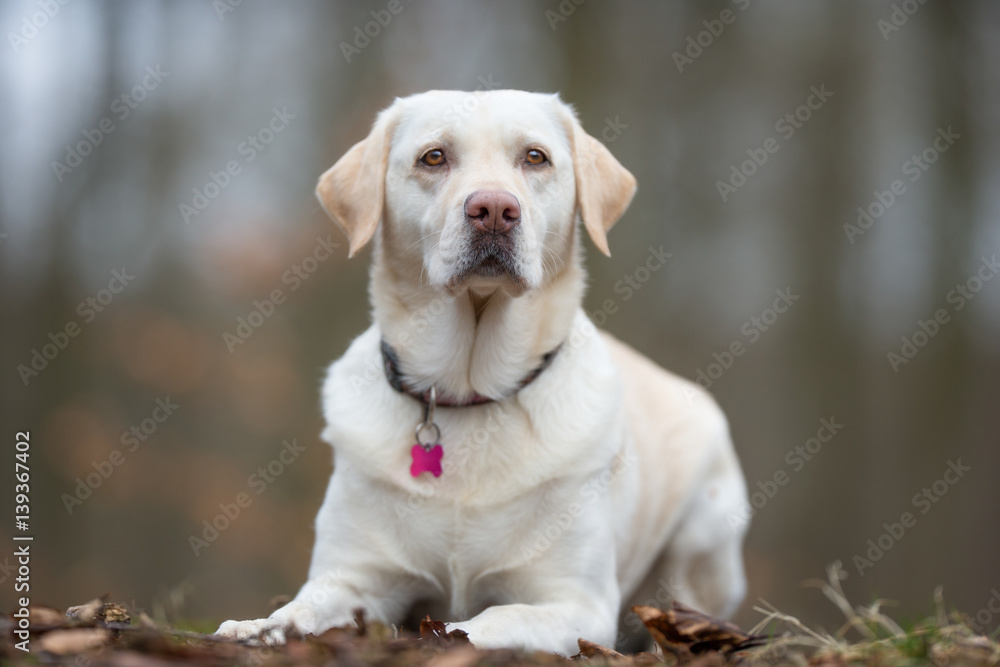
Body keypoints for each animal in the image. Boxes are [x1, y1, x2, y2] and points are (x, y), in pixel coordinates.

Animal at [219, 90, 752, 656]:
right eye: (434, 157)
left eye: (535, 157)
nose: (494, 210)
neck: (468, 389)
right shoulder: (351, 575)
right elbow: (304, 606)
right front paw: (258, 627)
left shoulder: (575, 603)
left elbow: (489, 620)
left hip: (704, 538)